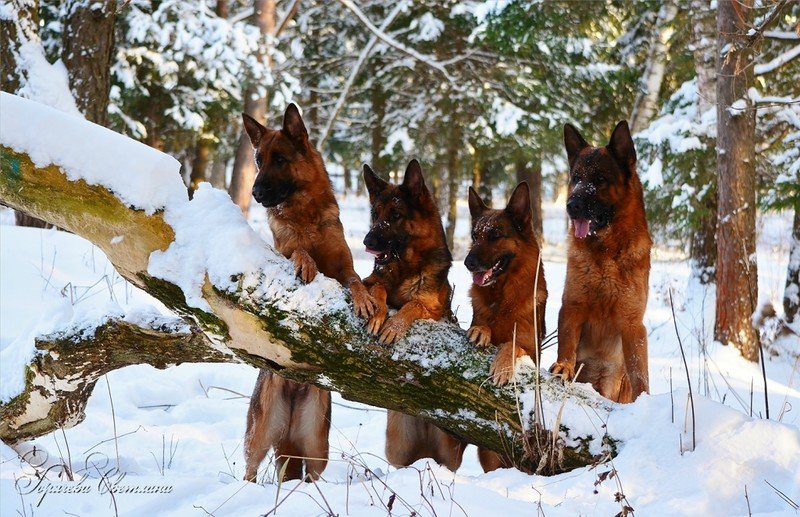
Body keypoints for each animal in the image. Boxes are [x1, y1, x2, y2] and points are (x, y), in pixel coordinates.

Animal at [241, 103, 378, 482]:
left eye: (279, 159)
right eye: (258, 160)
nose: (255, 194)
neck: (305, 214)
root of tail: (294, 383)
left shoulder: (344, 267)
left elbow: (355, 280)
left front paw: (364, 300)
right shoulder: (284, 248)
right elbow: (298, 251)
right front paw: (306, 263)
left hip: (316, 443)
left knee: (312, 475)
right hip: (259, 433)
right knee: (250, 469)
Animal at [360, 160, 466, 472]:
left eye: (395, 215)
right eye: (375, 214)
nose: (367, 241)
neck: (404, 268)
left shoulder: (432, 309)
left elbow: (413, 305)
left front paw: (393, 326)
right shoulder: (368, 281)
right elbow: (379, 288)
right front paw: (378, 312)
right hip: (396, 446)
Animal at [466, 181, 548, 472]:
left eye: (495, 235)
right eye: (475, 236)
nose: (467, 262)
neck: (502, 298)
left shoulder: (531, 349)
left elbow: (511, 344)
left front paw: (502, 367)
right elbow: (483, 325)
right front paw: (481, 330)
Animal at [552, 120, 652, 404]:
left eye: (599, 180)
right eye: (576, 178)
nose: (571, 205)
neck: (605, 255)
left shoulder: (633, 325)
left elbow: (640, 373)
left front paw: (645, 400)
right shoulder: (572, 307)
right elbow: (566, 343)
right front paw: (563, 366)